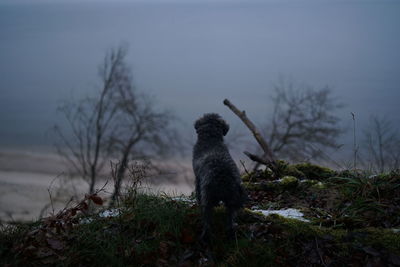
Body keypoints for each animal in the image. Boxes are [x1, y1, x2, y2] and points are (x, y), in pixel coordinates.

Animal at [191, 113, 245, 243]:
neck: (211, 138)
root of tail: (224, 179)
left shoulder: (198, 180)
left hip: (207, 197)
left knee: (207, 221)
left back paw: (205, 237)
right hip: (232, 201)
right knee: (230, 220)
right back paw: (231, 234)